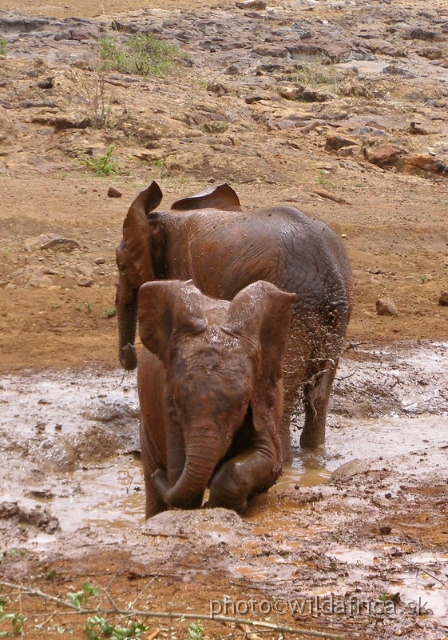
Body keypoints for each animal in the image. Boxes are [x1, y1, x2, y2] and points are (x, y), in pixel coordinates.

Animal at [115, 180, 354, 456]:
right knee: (320, 389)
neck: (163, 218)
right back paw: (313, 452)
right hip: (337, 316)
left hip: (294, 307)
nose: (129, 352)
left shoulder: (183, 267)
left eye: (122, 265)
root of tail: (331, 276)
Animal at [138, 278, 296, 516]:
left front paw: (229, 506)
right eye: (177, 403)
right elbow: (183, 487)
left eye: (242, 406)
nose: (160, 475)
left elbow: (270, 458)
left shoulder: (263, 395)